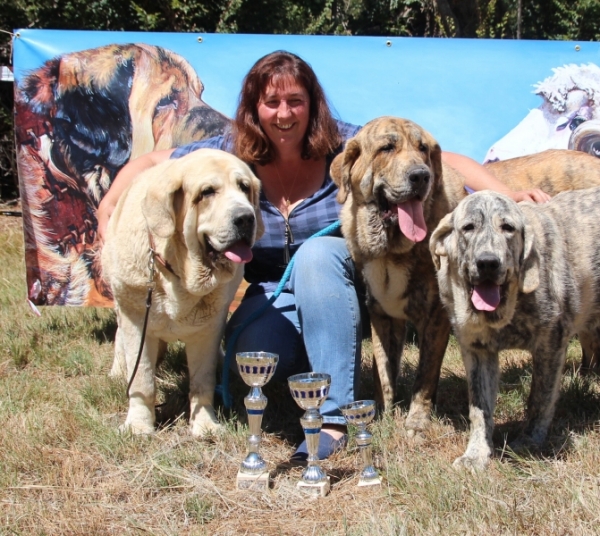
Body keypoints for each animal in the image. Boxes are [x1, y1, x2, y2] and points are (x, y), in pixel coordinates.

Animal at [102, 149, 262, 438]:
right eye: (207, 192)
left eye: (244, 187)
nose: (246, 218)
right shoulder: (136, 320)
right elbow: (141, 380)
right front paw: (138, 425)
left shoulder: (207, 328)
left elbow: (202, 382)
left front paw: (204, 424)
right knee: (121, 338)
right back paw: (118, 371)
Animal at [332, 117, 600, 436]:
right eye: (387, 148)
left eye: (423, 149)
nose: (421, 176)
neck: (391, 252)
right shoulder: (382, 316)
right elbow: (383, 374)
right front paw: (382, 418)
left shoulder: (435, 318)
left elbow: (424, 377)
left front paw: (416, 423)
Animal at [432, 189, 600, 474]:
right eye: (468, 227)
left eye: (508, 228)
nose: (488, 263)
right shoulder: (477, 352)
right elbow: (479, 409)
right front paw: (476, 454)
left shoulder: (550, 344)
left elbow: (539, 398)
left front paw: (529, 442)